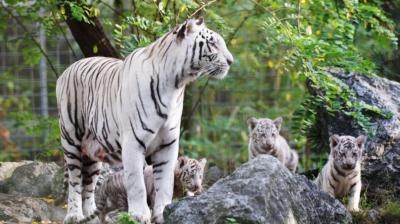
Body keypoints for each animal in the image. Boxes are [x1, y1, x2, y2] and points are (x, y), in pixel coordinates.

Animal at [54, 18, 233, 224]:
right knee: (75, 180)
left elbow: (164, 183)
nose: (231, 61)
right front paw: (139, 214)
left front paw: (163, 212)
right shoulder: (133, 142)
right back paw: (74, 215)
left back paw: (90, 217)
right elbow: (136, 182)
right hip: (71, 140)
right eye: (213, 43)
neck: (176, 84)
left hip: (93, 152)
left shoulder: (168, 143)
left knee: (89, 185)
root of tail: (67, 70)